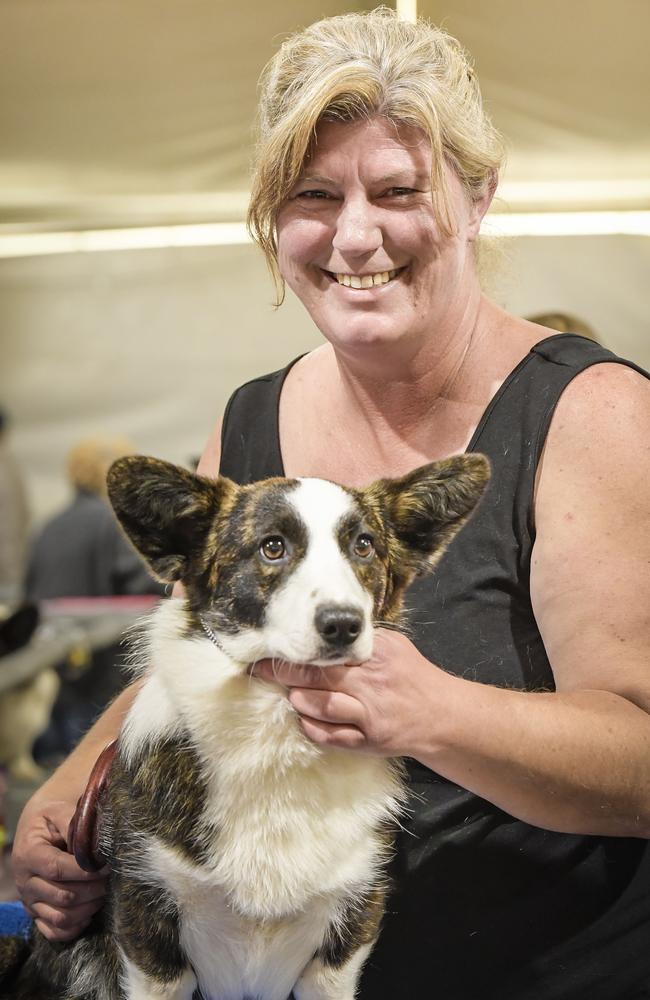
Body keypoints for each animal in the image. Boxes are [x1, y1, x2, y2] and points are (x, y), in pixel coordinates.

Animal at [3, 456, 486, 1000]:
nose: (343, 624)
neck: (276, 725)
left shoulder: (342, 943)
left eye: (363, 545)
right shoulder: (149, 936)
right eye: (272, 547)